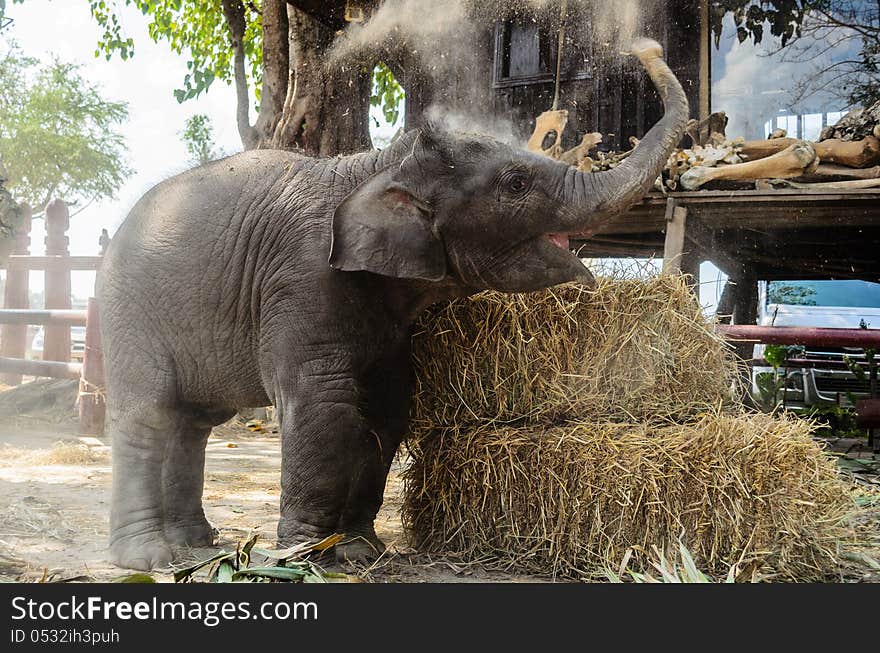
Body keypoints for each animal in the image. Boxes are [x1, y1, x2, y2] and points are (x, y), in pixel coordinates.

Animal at [101, 42, 688, 572]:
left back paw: (197, 544)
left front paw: (359, 552)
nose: (646, 47)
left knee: (193, 425)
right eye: (517, 183)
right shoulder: (303, 280)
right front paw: (302, 558)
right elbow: (323, 407)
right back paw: (151, 558)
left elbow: (386, 410)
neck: (380, 163)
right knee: (148, 415)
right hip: (127, 313)